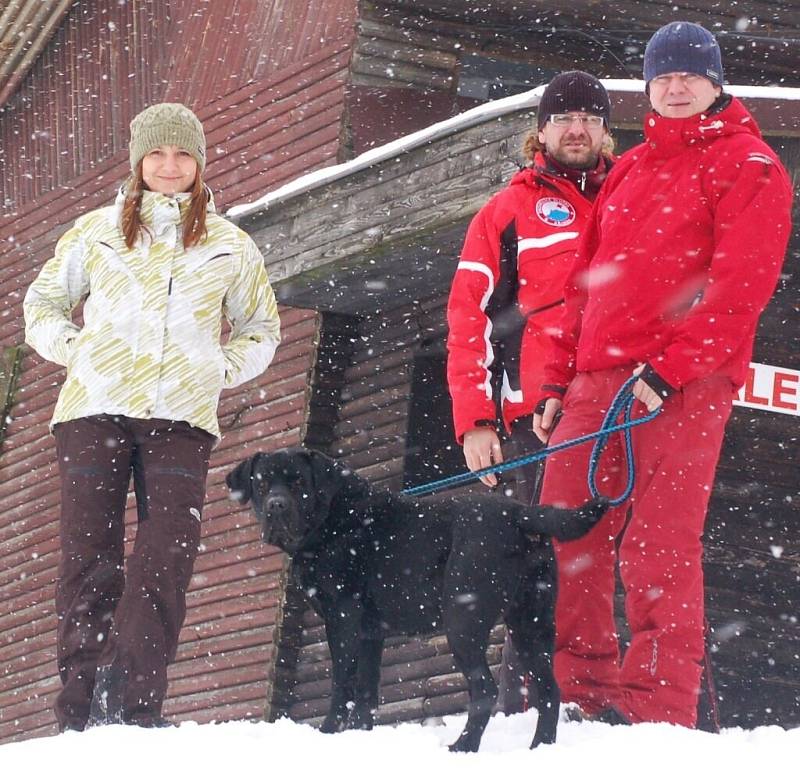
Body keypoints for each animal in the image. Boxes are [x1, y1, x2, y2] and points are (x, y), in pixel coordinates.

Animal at [225, 448, 608, 752]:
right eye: (262, 484)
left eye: (299, 484)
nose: (275, 506)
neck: (331, 520)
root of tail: (519, 513)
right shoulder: (370, 633)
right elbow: (367, 692)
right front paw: (358, 736)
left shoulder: (343, 619)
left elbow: (342, 682)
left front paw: (329, 732)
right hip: (531, 623)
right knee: (549, 690)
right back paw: (539, 748)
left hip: (463, 620)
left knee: (484, 689)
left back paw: (462, 747)